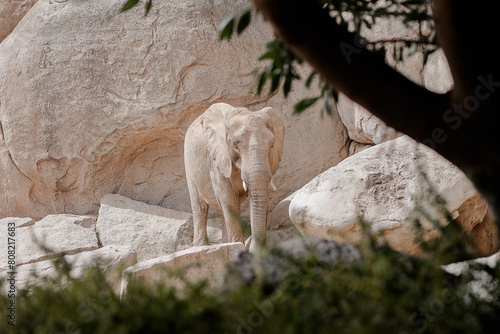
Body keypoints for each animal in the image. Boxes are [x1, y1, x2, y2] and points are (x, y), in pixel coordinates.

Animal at [184, 103, 286, 252]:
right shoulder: (216, 158)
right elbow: (229, 199)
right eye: (235, 146)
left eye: (272, 145)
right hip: (189, 163)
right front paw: (238, 248)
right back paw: (202, 247)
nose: (253, 250)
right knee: (200, 206)